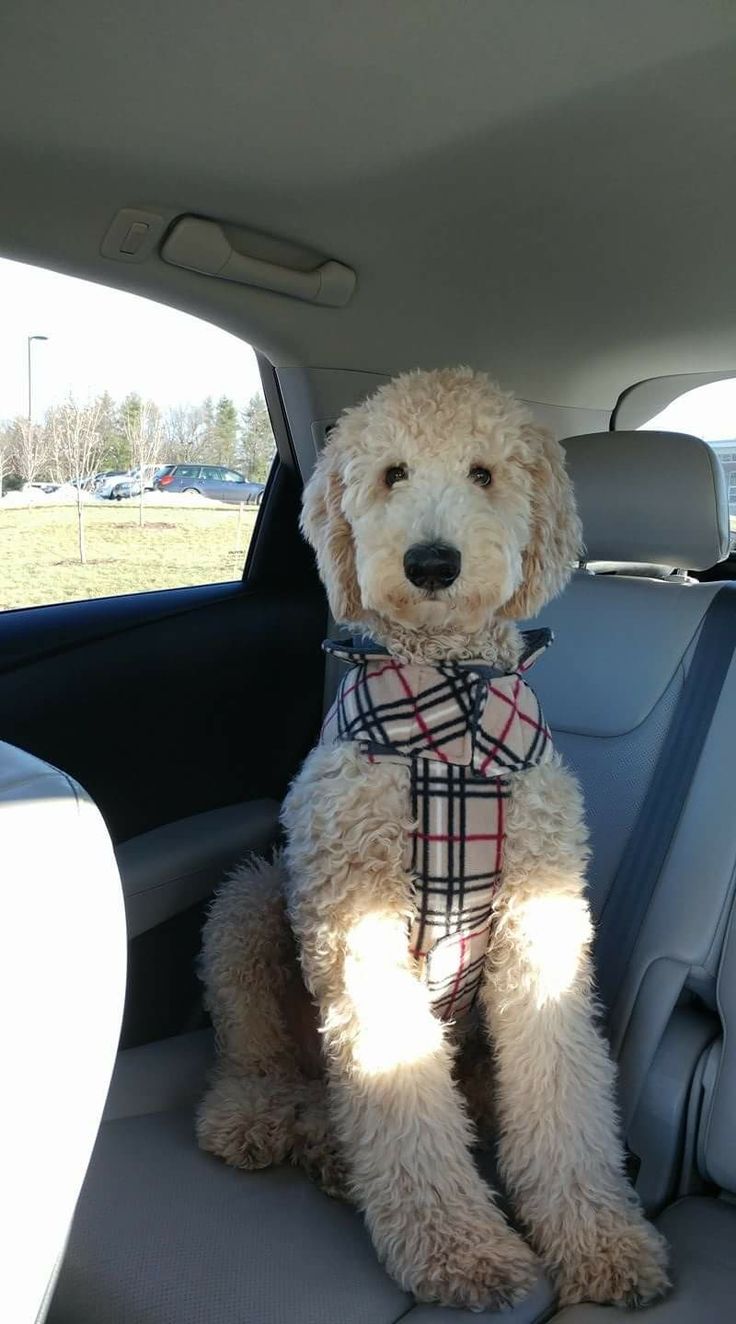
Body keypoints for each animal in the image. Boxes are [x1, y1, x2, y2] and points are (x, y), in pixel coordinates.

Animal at [198, 365, 669, 1313]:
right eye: (392, 474)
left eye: (485, 473)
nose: (431, 563)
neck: (451, 716)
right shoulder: (354, 914)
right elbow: (395, 1076)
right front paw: (460, 1249)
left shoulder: (543, 916)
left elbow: (562, 1080)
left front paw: (600, 1239)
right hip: (255, 901)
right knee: (263, 1054)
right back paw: (266, 1119)